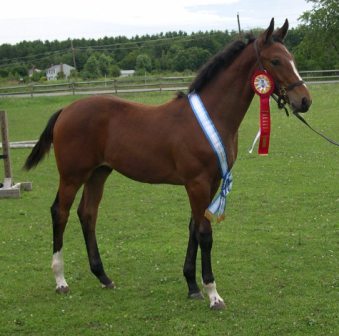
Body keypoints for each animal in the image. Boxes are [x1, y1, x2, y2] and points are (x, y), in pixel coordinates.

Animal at [23, 19, 310, 310]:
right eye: (275, 60)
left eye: (292, 59)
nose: (304, 100)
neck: (212, 116)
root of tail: (66, 110)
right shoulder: (197, 183)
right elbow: (204, 234)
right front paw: (212, 293)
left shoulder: (211, 182)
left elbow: (194, 228)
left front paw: (192, 286)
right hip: (72, 175)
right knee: (60, 212)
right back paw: (61, 280)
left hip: (99, 173)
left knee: (88, 214)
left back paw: (103, 276)